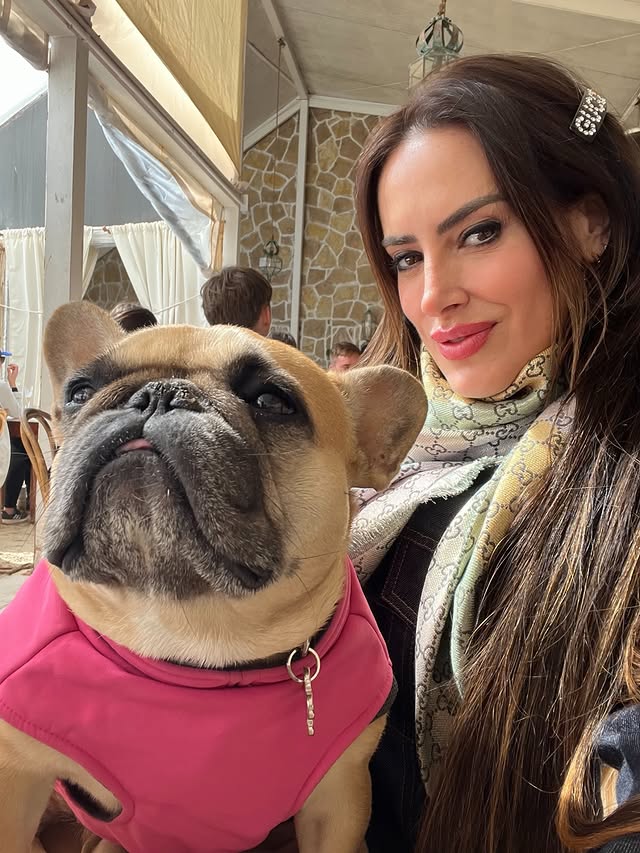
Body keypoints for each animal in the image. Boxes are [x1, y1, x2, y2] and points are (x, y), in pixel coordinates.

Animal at [0, 302, 426, 853]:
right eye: (79, 390)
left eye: (273, 401)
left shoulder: (339, 801)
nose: (157, 393)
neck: (195, 633)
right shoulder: (16, 782)